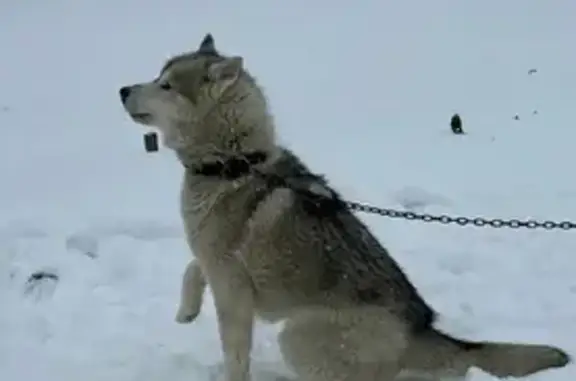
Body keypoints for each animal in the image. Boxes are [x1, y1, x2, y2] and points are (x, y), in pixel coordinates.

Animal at [118, 33, 572, 380]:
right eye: (157, 76)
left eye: (166, 85)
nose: (122, 89)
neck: (235, 164)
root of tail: (423, 328)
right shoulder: (214, 263)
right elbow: (192, 267)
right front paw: (186, 310)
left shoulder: (232, 290)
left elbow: (234, 355)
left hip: (297, 337)